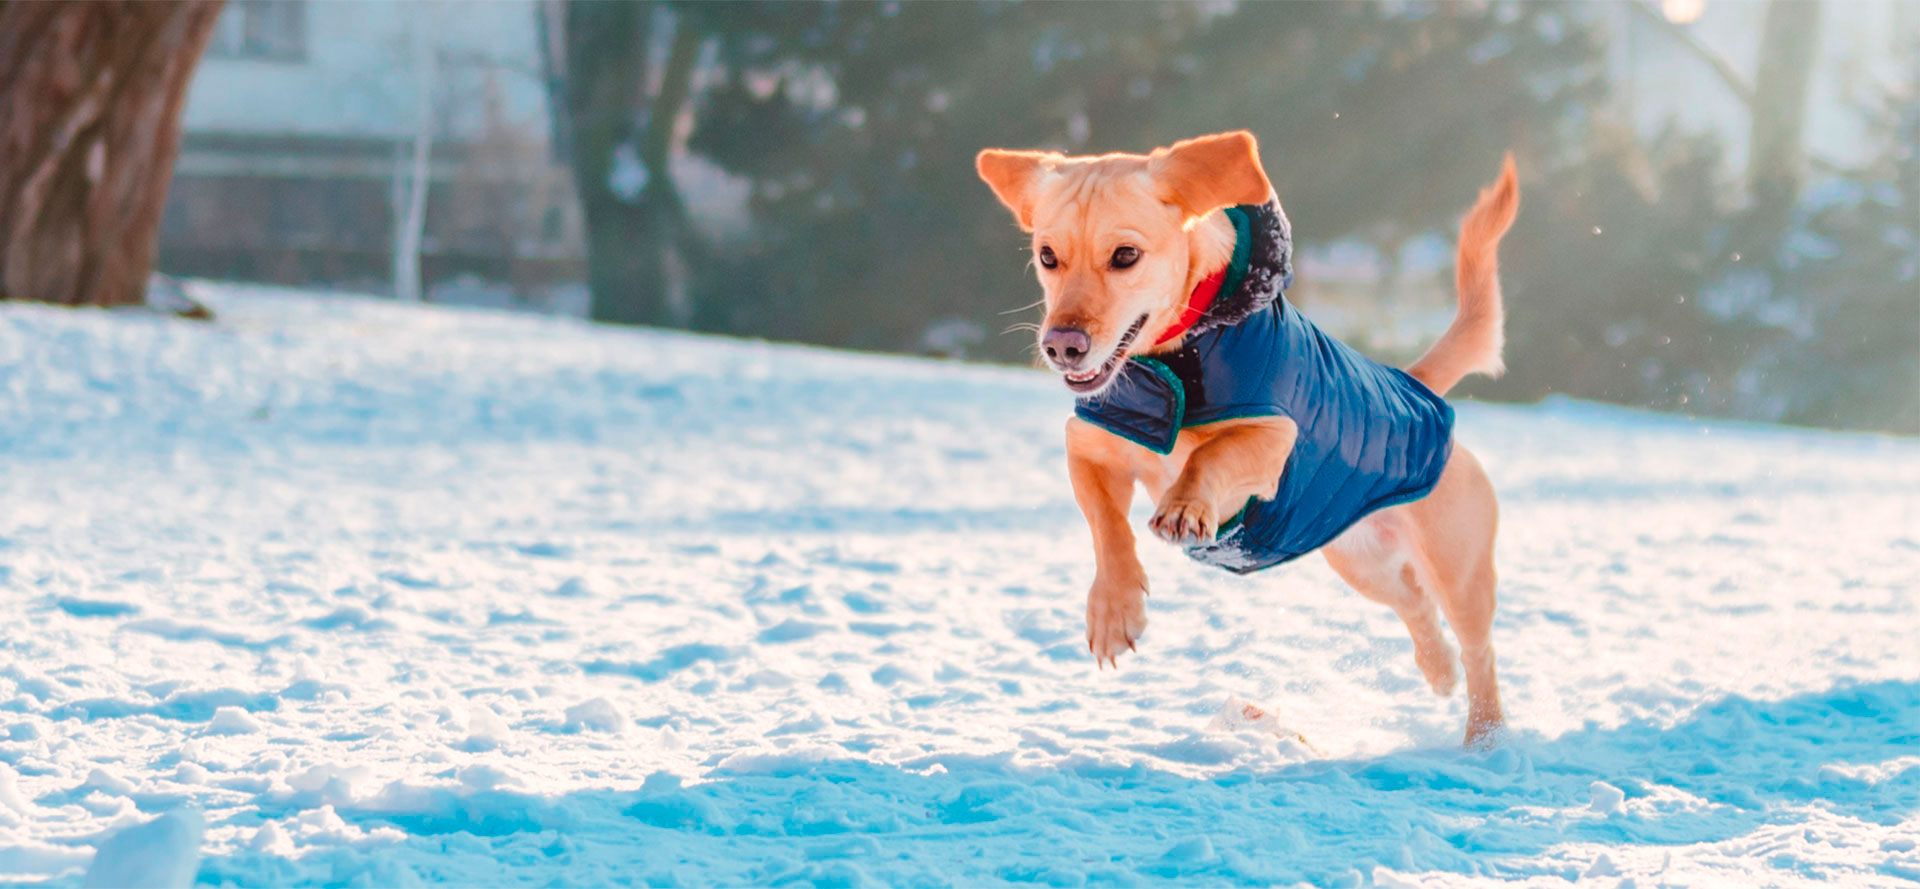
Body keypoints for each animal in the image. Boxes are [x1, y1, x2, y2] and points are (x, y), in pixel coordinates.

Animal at [983, 128, 1520, 748]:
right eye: (1048, 256)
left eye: (1125, 256)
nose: (1061, 345)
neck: (1176, 358)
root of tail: (1414, 384)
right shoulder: (1088, 443)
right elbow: (1106, 527)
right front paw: (1114, 611)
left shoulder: (1274, 436)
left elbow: (1212, 455)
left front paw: (1186, 507)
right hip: (1360, 562)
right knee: (1416, 607)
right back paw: (1439, 671)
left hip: (1458, 567)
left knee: (1479, 650)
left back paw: (1485, 738)